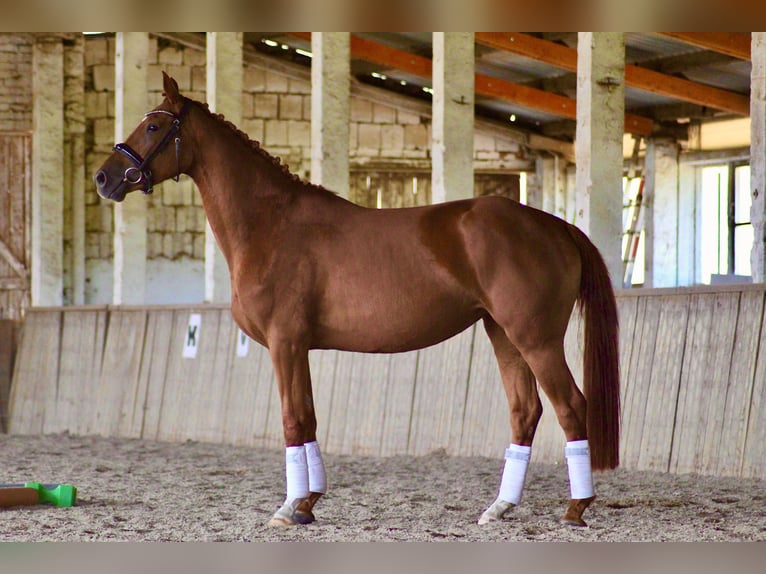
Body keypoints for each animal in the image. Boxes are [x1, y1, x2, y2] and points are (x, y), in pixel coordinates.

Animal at [96, 73, 620, 532]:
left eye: (154, 126)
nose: (105, 178)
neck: (270, 224)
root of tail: (555, 225)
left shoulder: (285, 343)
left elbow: (292, 420)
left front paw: (288, 508)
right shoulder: (298, 347)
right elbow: (308, 417)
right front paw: (307, 504)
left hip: (536, 339)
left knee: (571, 406)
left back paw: (576, 509)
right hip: (503, 334)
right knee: (524, 411)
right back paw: (499, 508)